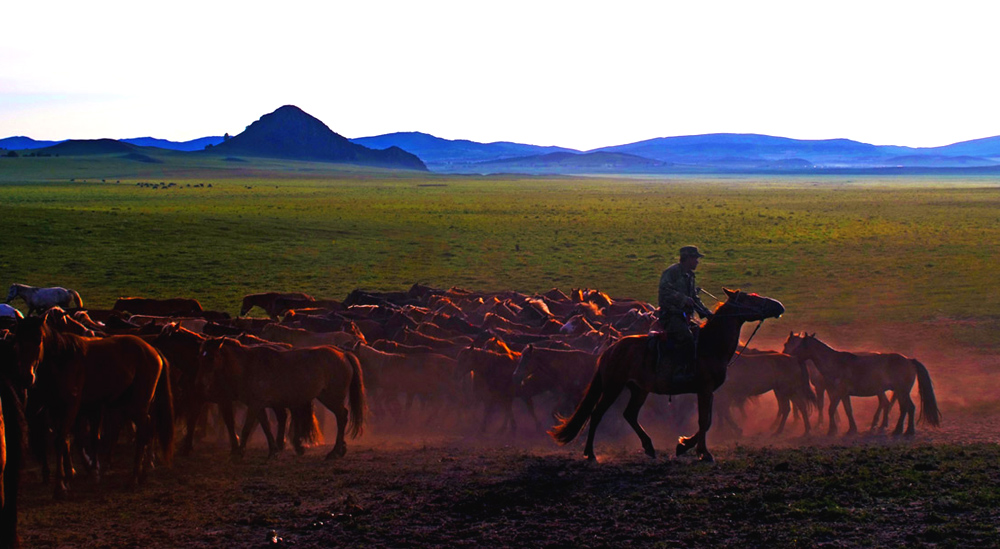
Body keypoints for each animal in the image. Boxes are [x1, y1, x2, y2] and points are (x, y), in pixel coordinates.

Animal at [13, 312, 174, 497]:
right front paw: (70, 476)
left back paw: (134, 478)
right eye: (18, 340)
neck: (63, 359)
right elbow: (65, 440)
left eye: (38, 339)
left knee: (143, 433)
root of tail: (153, 351)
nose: (26, 377)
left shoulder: (72, 407)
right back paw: (143, 473)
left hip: (138, 404)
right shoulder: (56, 410)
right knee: (147, 429)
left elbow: (62, 440)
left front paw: (60, 486)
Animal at [197, 338, 365, 459]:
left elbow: (246, 428)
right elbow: (266, 426)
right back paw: (340, 449)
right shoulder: (259, 406)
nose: (201, 383)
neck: (248, 366)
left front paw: (240, 452)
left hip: (331, 398)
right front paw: (273, 450)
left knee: (342, 417)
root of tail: (343, 354)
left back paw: (335, 451)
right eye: (201, 356)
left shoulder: (254, 405)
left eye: (212, 357)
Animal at [549, 289, 785, 462]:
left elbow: (707, 421)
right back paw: (590, 453)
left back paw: (649, 447)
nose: (778, 305)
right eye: (751, 298)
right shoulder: (705, 389)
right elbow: (704, 421)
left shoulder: (708, 392)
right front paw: (702, 453)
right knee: (597, 414)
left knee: (630, 414)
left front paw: (684, 446)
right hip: (613, 387)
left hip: (639, 390)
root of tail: (611, 349)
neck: (710, 345)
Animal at [782, 332, 940, 436]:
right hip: (899, 392)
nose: (789, 356)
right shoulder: (843, 394)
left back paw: (906, 431)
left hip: (902, 392)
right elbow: (848, 410)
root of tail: (909, 360)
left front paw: (832, 430)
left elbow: (831, 409)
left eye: (801, 345)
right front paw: (851, 429)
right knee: (901, 408)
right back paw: (897, 429)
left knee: (909, 408)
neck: (835, 363)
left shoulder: (837, 392)